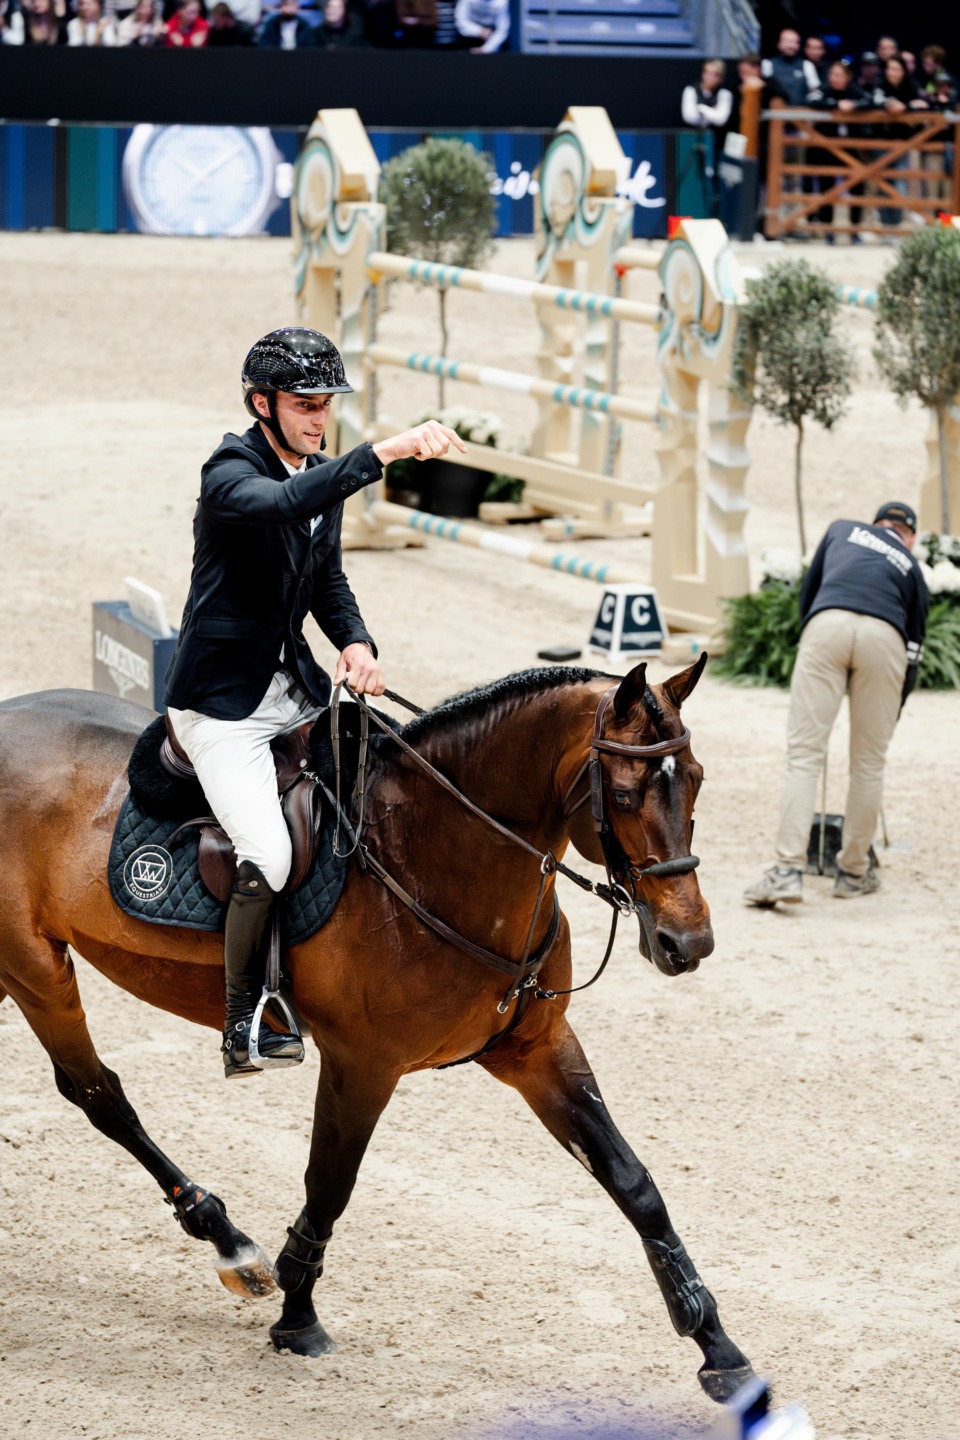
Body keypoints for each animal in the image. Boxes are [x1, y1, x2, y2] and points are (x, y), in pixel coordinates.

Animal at [0, 659, 759, 1399]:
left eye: (696, 780)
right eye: (625, 797)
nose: (687, 943)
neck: (432, 852)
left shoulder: (535, 1048)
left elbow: (634, 1184)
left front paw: (717, 1346)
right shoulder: (362, 1064)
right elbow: (329, 1183)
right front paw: (298, 1317)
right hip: (33, 967)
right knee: (98, 1093)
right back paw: (232, 1246)